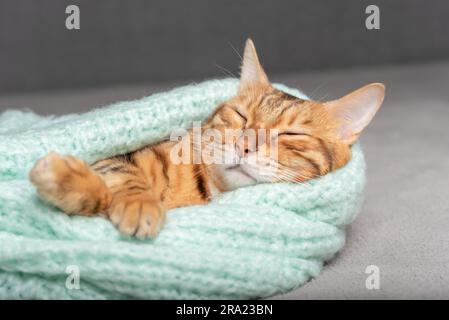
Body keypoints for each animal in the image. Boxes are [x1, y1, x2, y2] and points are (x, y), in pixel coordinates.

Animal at [29, 39, 384, 238]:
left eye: (291, 134)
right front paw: (138, 202)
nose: (244, 146)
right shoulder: (115, 157)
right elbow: (121, 173)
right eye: (240, 116)